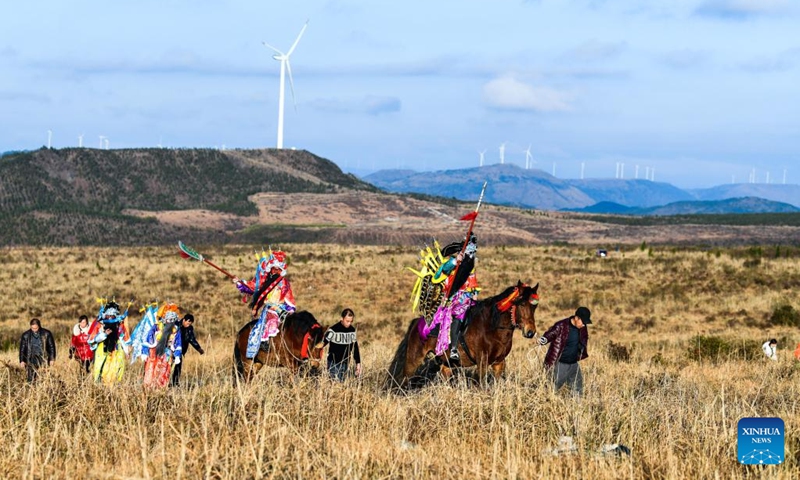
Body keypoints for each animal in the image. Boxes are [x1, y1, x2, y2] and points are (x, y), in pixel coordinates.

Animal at [386, 282, 540, 390]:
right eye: (521, 303)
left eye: (534, 306)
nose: (530, 332)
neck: (492, 327)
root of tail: (417, 322)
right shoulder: (482, 362)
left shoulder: (499, 363)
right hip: (413, 360)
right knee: (403, 381)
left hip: (446, 363)